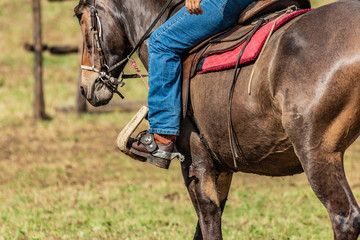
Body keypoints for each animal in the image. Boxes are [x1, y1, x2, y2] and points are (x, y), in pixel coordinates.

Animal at [74, 0, 360, 238]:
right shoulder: (221, 166)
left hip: (316, 152)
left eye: (81, 17)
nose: (86, 87)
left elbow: (209, 220)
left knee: (345, 218)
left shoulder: (196, 163)